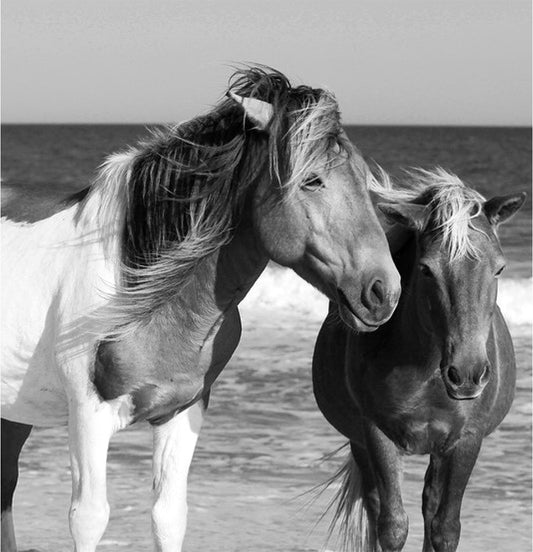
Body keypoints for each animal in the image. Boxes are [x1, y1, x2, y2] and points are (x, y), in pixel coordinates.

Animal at [0, 68, 400, 552]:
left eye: (363, 178)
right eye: (312, 180)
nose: (383, 291)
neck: (139, 285)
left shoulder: (183, 412)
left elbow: (169, 517)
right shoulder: (89, 415)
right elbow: (89, 517)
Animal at [312, 169, 524, 552]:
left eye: (499, 268)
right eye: (426, 270)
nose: (467, 374)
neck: (428, 371)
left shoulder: (466, 441)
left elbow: (445, 527)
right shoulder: (376, 435)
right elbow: (392, 526)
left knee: (430, 504)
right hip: (360, 443)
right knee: (375, 504)